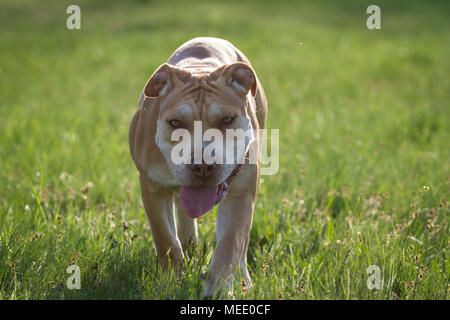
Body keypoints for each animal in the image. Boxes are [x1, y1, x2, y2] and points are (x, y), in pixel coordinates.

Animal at [127, 37, 268, 298]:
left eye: (226, 120)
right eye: (175, 122)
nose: (202, 165)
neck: (200, 70)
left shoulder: (241, 193)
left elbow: (231, 243)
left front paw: (219, 289)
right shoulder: (152, 188)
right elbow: (165, 239)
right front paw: (171, 281)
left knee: (241, 248)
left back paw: (243, 279)